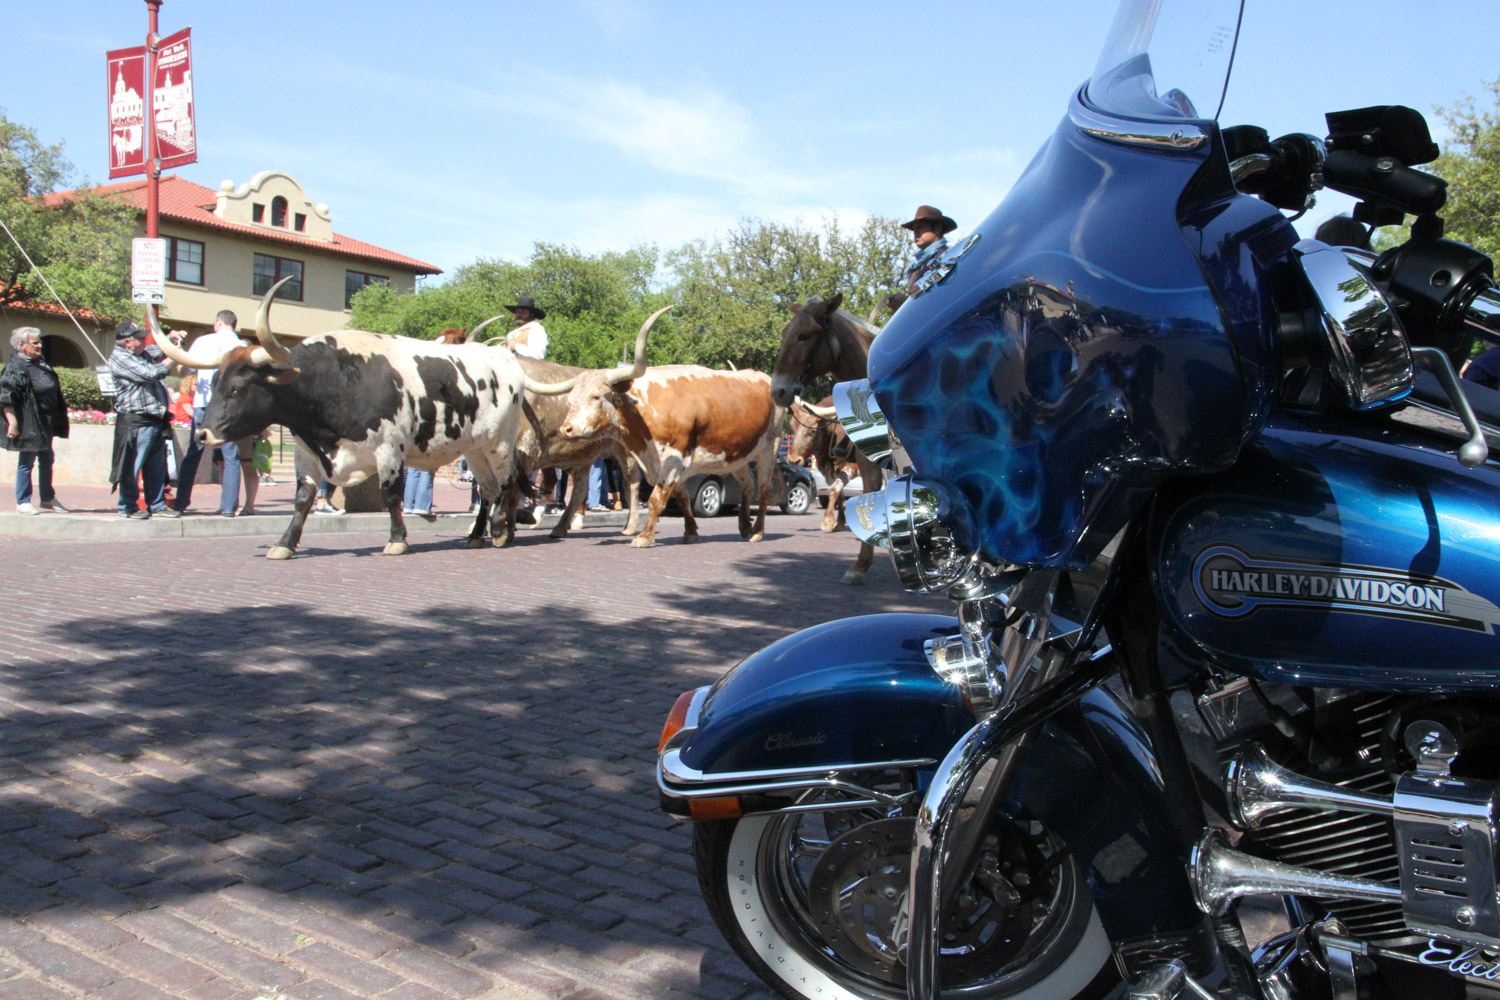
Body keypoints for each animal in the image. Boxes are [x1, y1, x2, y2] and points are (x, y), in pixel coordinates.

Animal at [768, 293, 882, 581]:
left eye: (805, 335)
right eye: (784, 333)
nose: (778, 390)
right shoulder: (865, 461)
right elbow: (851, 492)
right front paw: (859, 562)